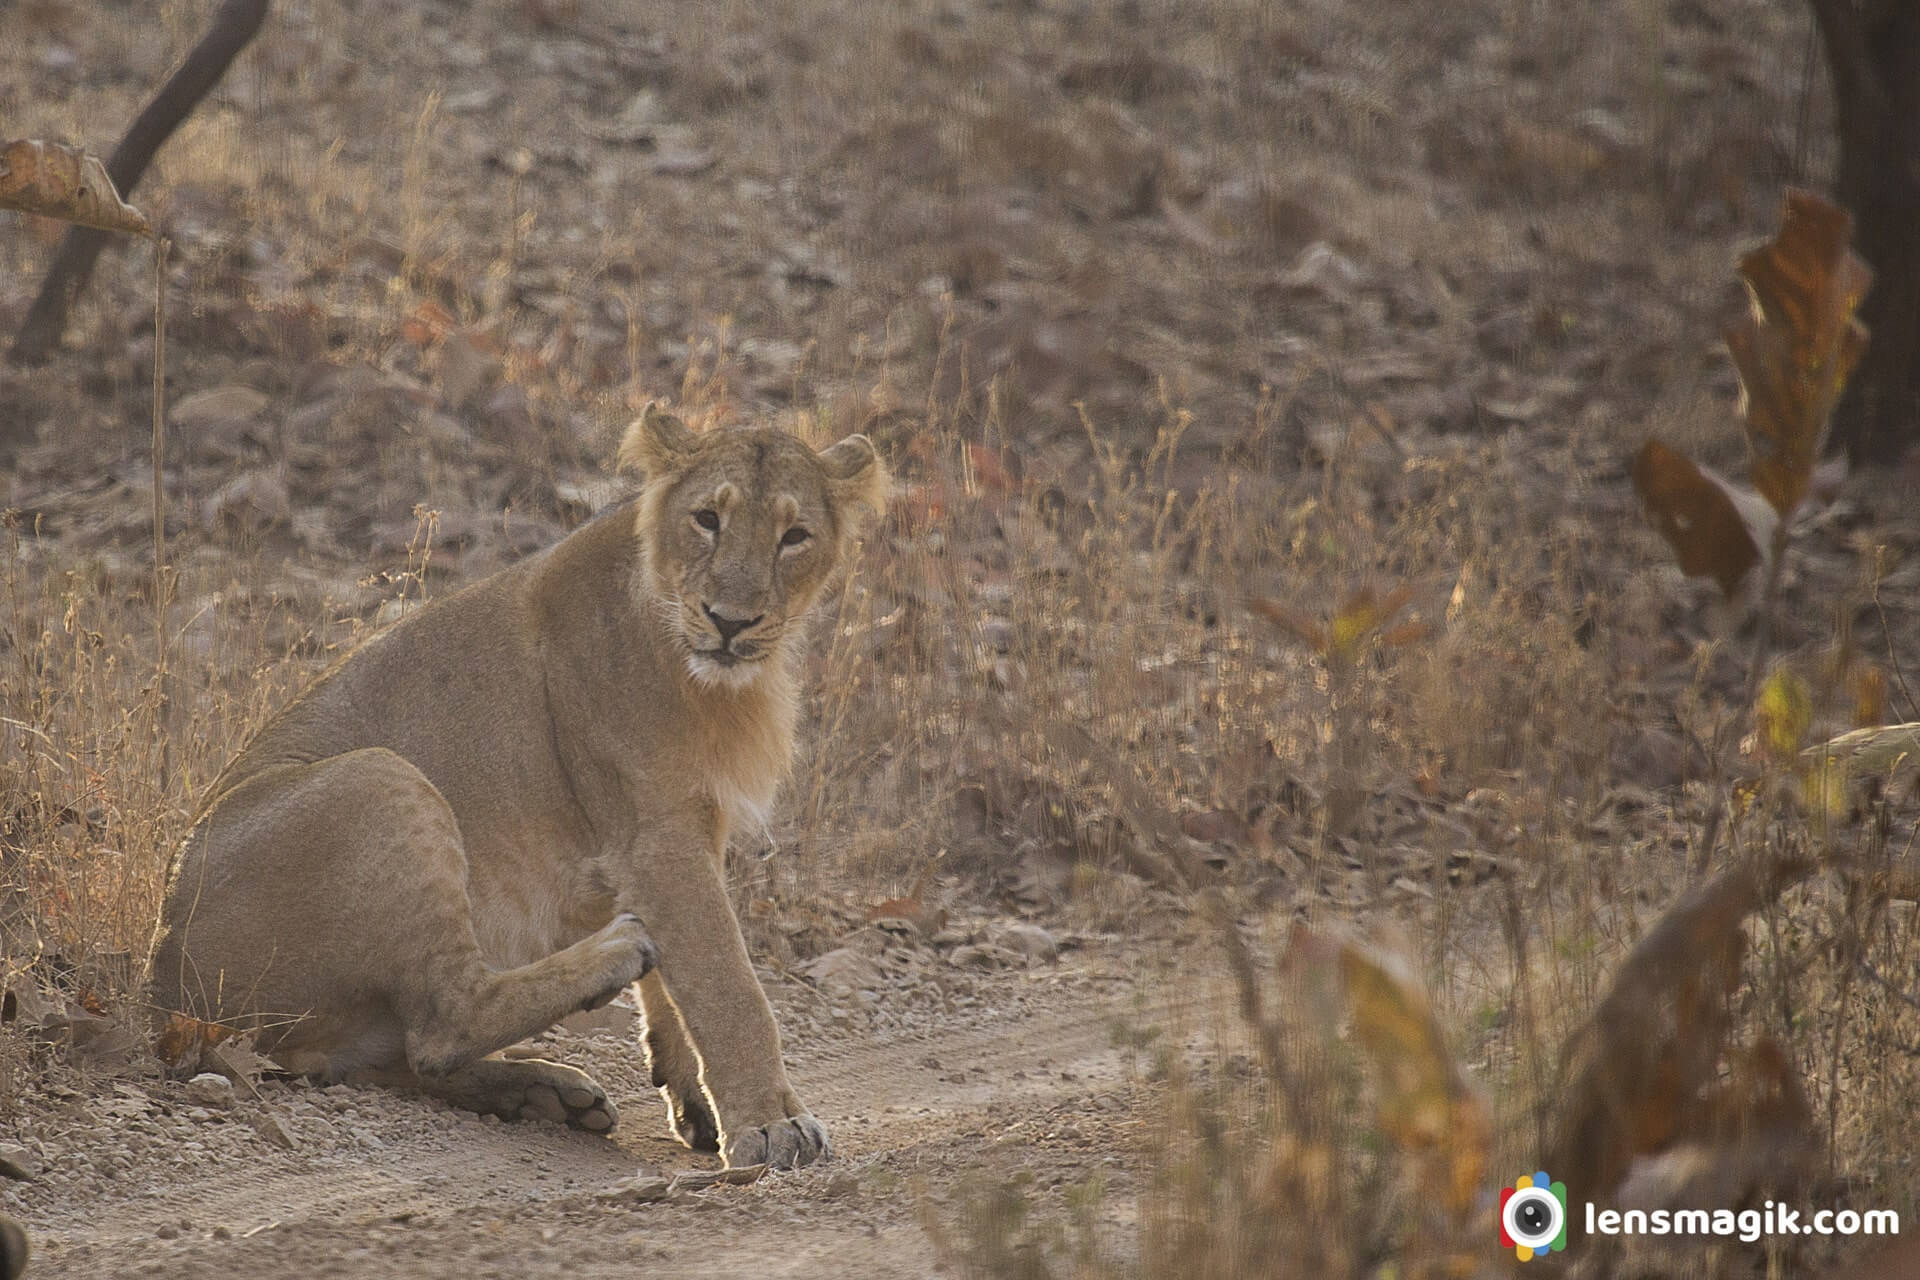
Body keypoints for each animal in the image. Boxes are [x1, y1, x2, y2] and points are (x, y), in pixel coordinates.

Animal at [149, 408, 890, 1174]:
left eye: (794, 536)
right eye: (707, 519)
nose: (732, 621)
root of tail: (158, 977)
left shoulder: (682, 832)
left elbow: (683, 984)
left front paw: (697, 1101)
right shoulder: (656, 831)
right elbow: (727, 984)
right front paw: (774, 1127)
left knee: (403, 1052)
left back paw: (545, 1092)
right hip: (381, 775)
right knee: (443, 1021)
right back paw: (610, 961)